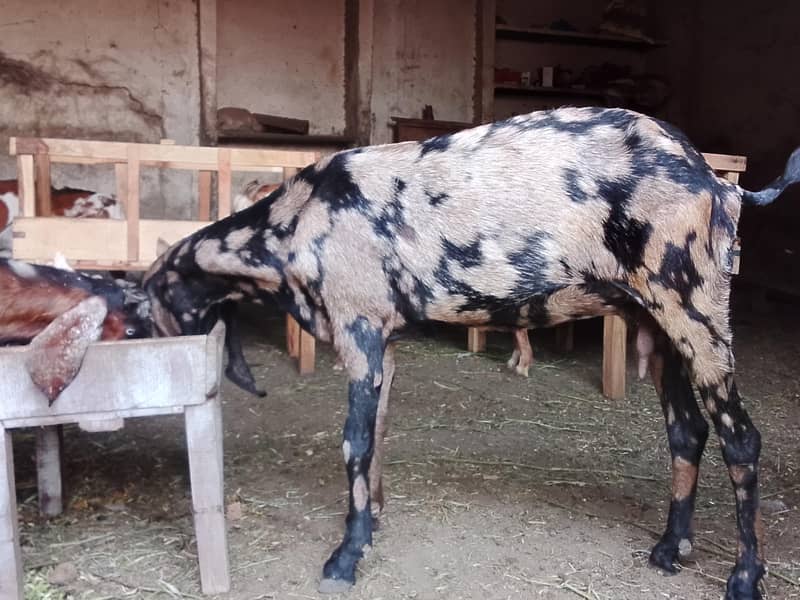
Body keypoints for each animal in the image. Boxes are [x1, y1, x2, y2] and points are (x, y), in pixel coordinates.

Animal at [143, 106, 800, 599]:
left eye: (142, 312)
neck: (295, 221)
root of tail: (717, 181)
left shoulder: (358, 327)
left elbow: (353, 442)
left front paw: (344, 558)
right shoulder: (384, 341)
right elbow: (378, 434)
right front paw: (371, 525)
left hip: (695, 306)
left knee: (741, 438)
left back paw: (745, 577)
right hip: (656, 320)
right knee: (687, 430)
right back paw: (669, 549)